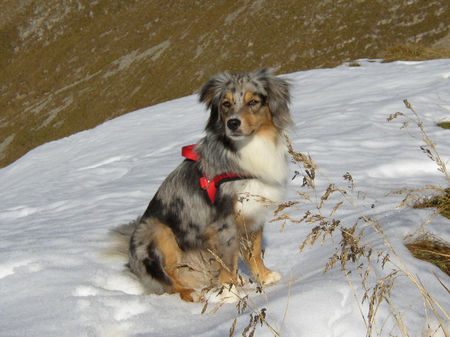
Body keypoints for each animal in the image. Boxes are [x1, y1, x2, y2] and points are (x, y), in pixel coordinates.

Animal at [113, 68, 292, 302]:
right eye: (226, 104)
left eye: (253, 101)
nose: (233, 123)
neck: (248, 148)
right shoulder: (224, 222)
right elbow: (228, 261)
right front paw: (229, 294)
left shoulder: (254, 212)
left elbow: (253, 252)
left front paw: (265, 277)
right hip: (156, 230)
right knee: (170, 281)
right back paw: (193, 294)